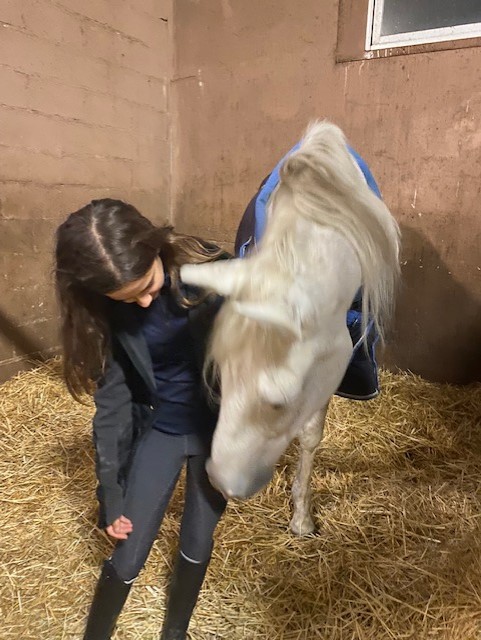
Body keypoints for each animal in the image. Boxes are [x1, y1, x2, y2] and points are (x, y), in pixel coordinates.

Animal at [181, 121, 401, 535]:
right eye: (221, 377)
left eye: (279, 401)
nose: (219, 481)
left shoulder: (334, 359)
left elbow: (310, 435)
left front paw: (301, 517)